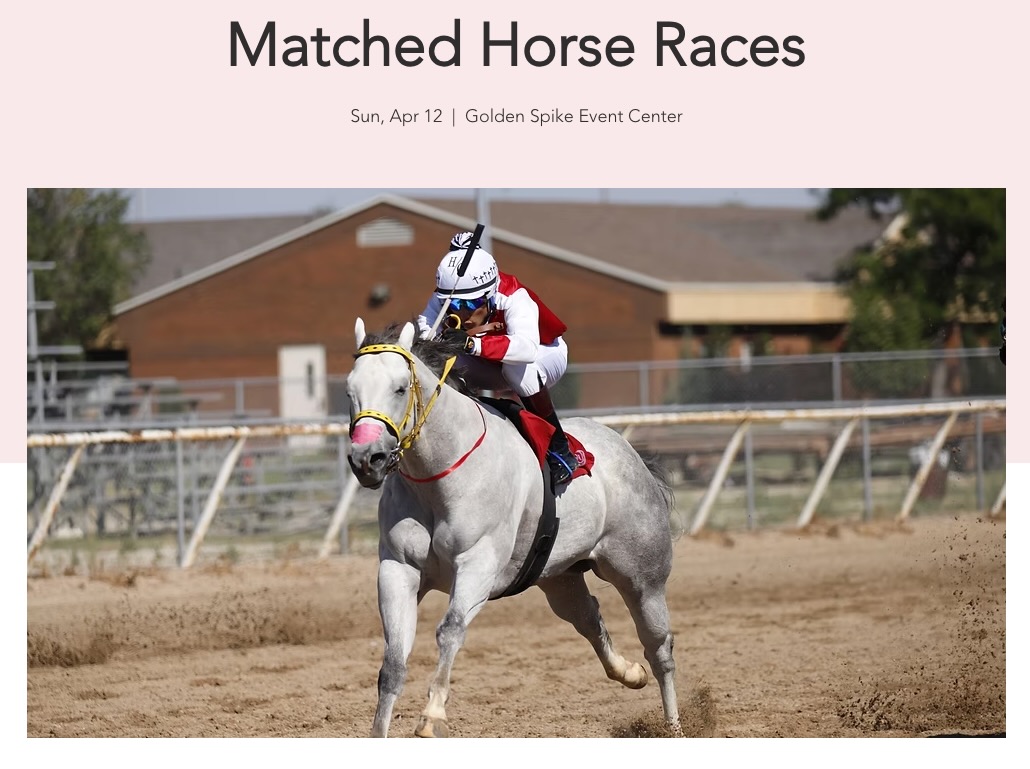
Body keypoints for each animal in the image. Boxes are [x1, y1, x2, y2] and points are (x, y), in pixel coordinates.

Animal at [346, 318, 681, 738]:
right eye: (350, 391)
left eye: (399, 387)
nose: (367, 459)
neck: (441, 474)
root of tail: (630, 455)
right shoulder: (397, 570)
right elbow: (393, 661)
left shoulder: (478, 565)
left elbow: (451, 629)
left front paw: (432, 715)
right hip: (559, 577)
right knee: (589, 618)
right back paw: (630, 673)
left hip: (642, 576)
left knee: (659, 647)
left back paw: (674, 725)